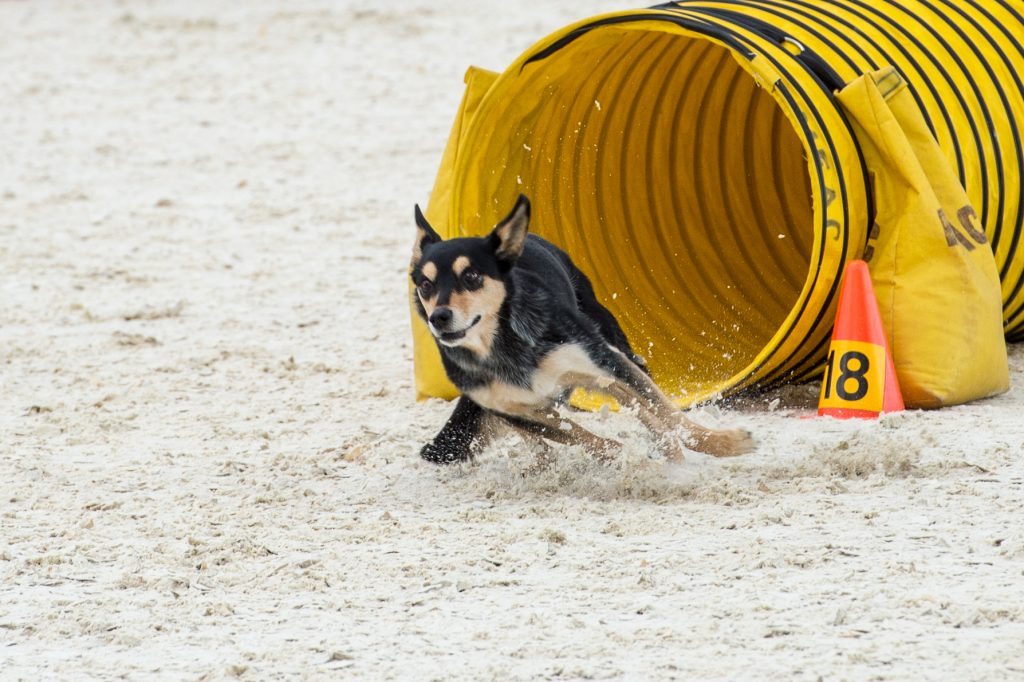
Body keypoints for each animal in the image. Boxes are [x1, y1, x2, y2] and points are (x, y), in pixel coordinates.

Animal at [411, 193, 757, 464]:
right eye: (426, 284)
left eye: (471, 277)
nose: (439, 317)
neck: (503, 346)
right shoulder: (517, 411)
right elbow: (577, 435)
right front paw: (622, 456)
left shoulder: (605, 364)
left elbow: (666, 413)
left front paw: (723, 443)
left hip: (612, 349)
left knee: (647, 410)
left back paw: (672, 452)